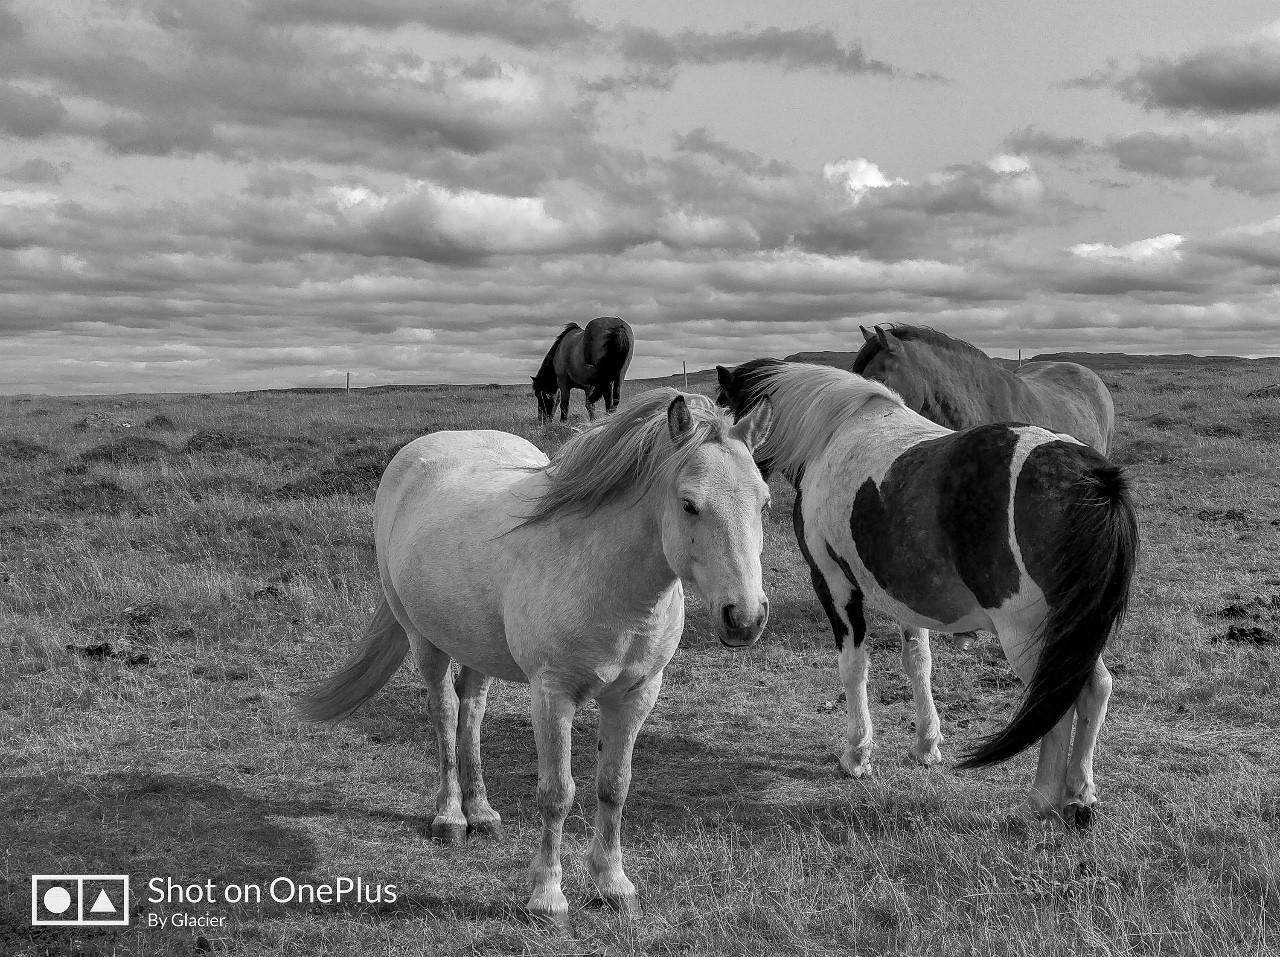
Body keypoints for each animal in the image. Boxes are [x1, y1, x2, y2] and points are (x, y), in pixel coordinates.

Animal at [299, 388, 775, 923]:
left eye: (764, 502)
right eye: (690, 505)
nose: (745, 618)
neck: (605, 578)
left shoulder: (636, 694)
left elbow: (614, 787)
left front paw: (613, 885)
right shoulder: (552, 695)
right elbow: (556, 794)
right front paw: (547, 896)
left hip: (477, 647)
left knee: (471, 711)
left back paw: (482, 813)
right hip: (425, 640)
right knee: (444, 712)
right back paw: (450, 817)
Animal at [716, 360, 1137, 827]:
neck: (831, 433)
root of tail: (1092, 477)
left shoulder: (834, 584)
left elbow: (854, 668)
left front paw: (856, 755)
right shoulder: (907, 597)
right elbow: (918, 662)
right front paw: (926, 746)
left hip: (1030, 636)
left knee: (1059, 700)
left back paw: (1040, 800)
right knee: (1096, 687)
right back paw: (1080, 795)